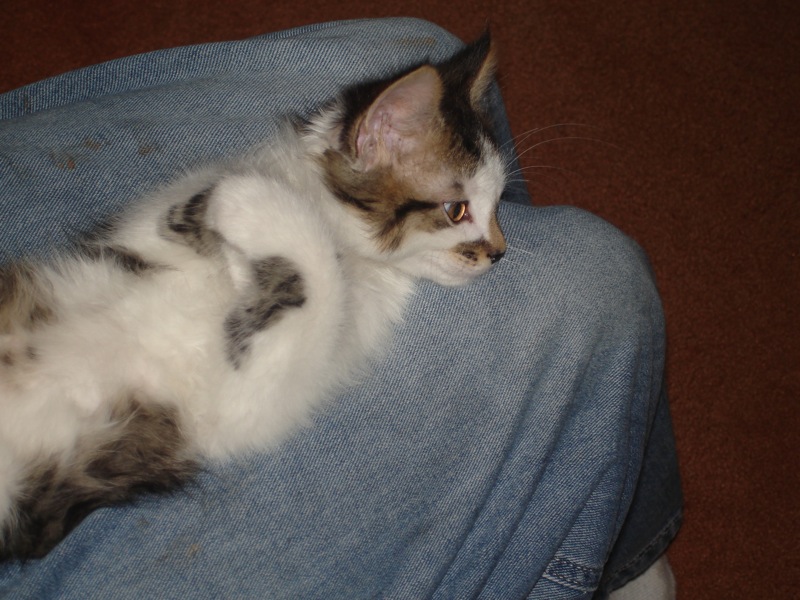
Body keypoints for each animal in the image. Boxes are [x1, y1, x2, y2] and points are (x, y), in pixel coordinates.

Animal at [1, 35, 506, 560]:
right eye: (457, 210)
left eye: (498, 205)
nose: (498, 253)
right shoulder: (138, 235)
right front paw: (237, 204)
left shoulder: (240, 405)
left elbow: (312, 275)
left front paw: (246, 213)